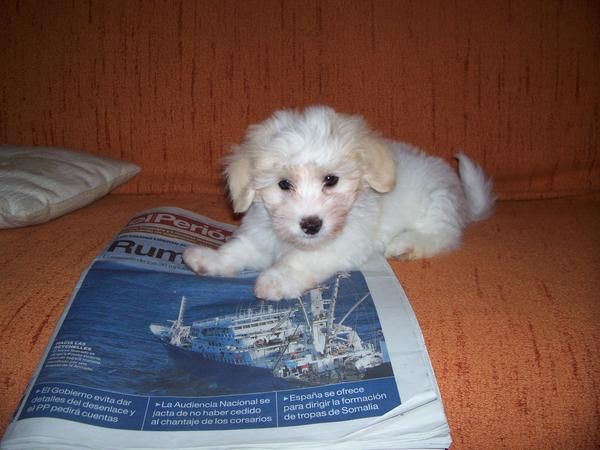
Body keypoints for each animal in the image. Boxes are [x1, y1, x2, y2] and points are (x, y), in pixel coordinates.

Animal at [183, 106, 492, 298]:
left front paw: (276, 280)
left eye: (331, 180)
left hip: (436, 204)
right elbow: (237, 250)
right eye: (284, 184)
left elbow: (300, 260)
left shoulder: (341, 243)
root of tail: (463, 200)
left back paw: (405, 244)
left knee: (443, 236)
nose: (311, 225)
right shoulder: (261, 234)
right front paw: (209, 259)